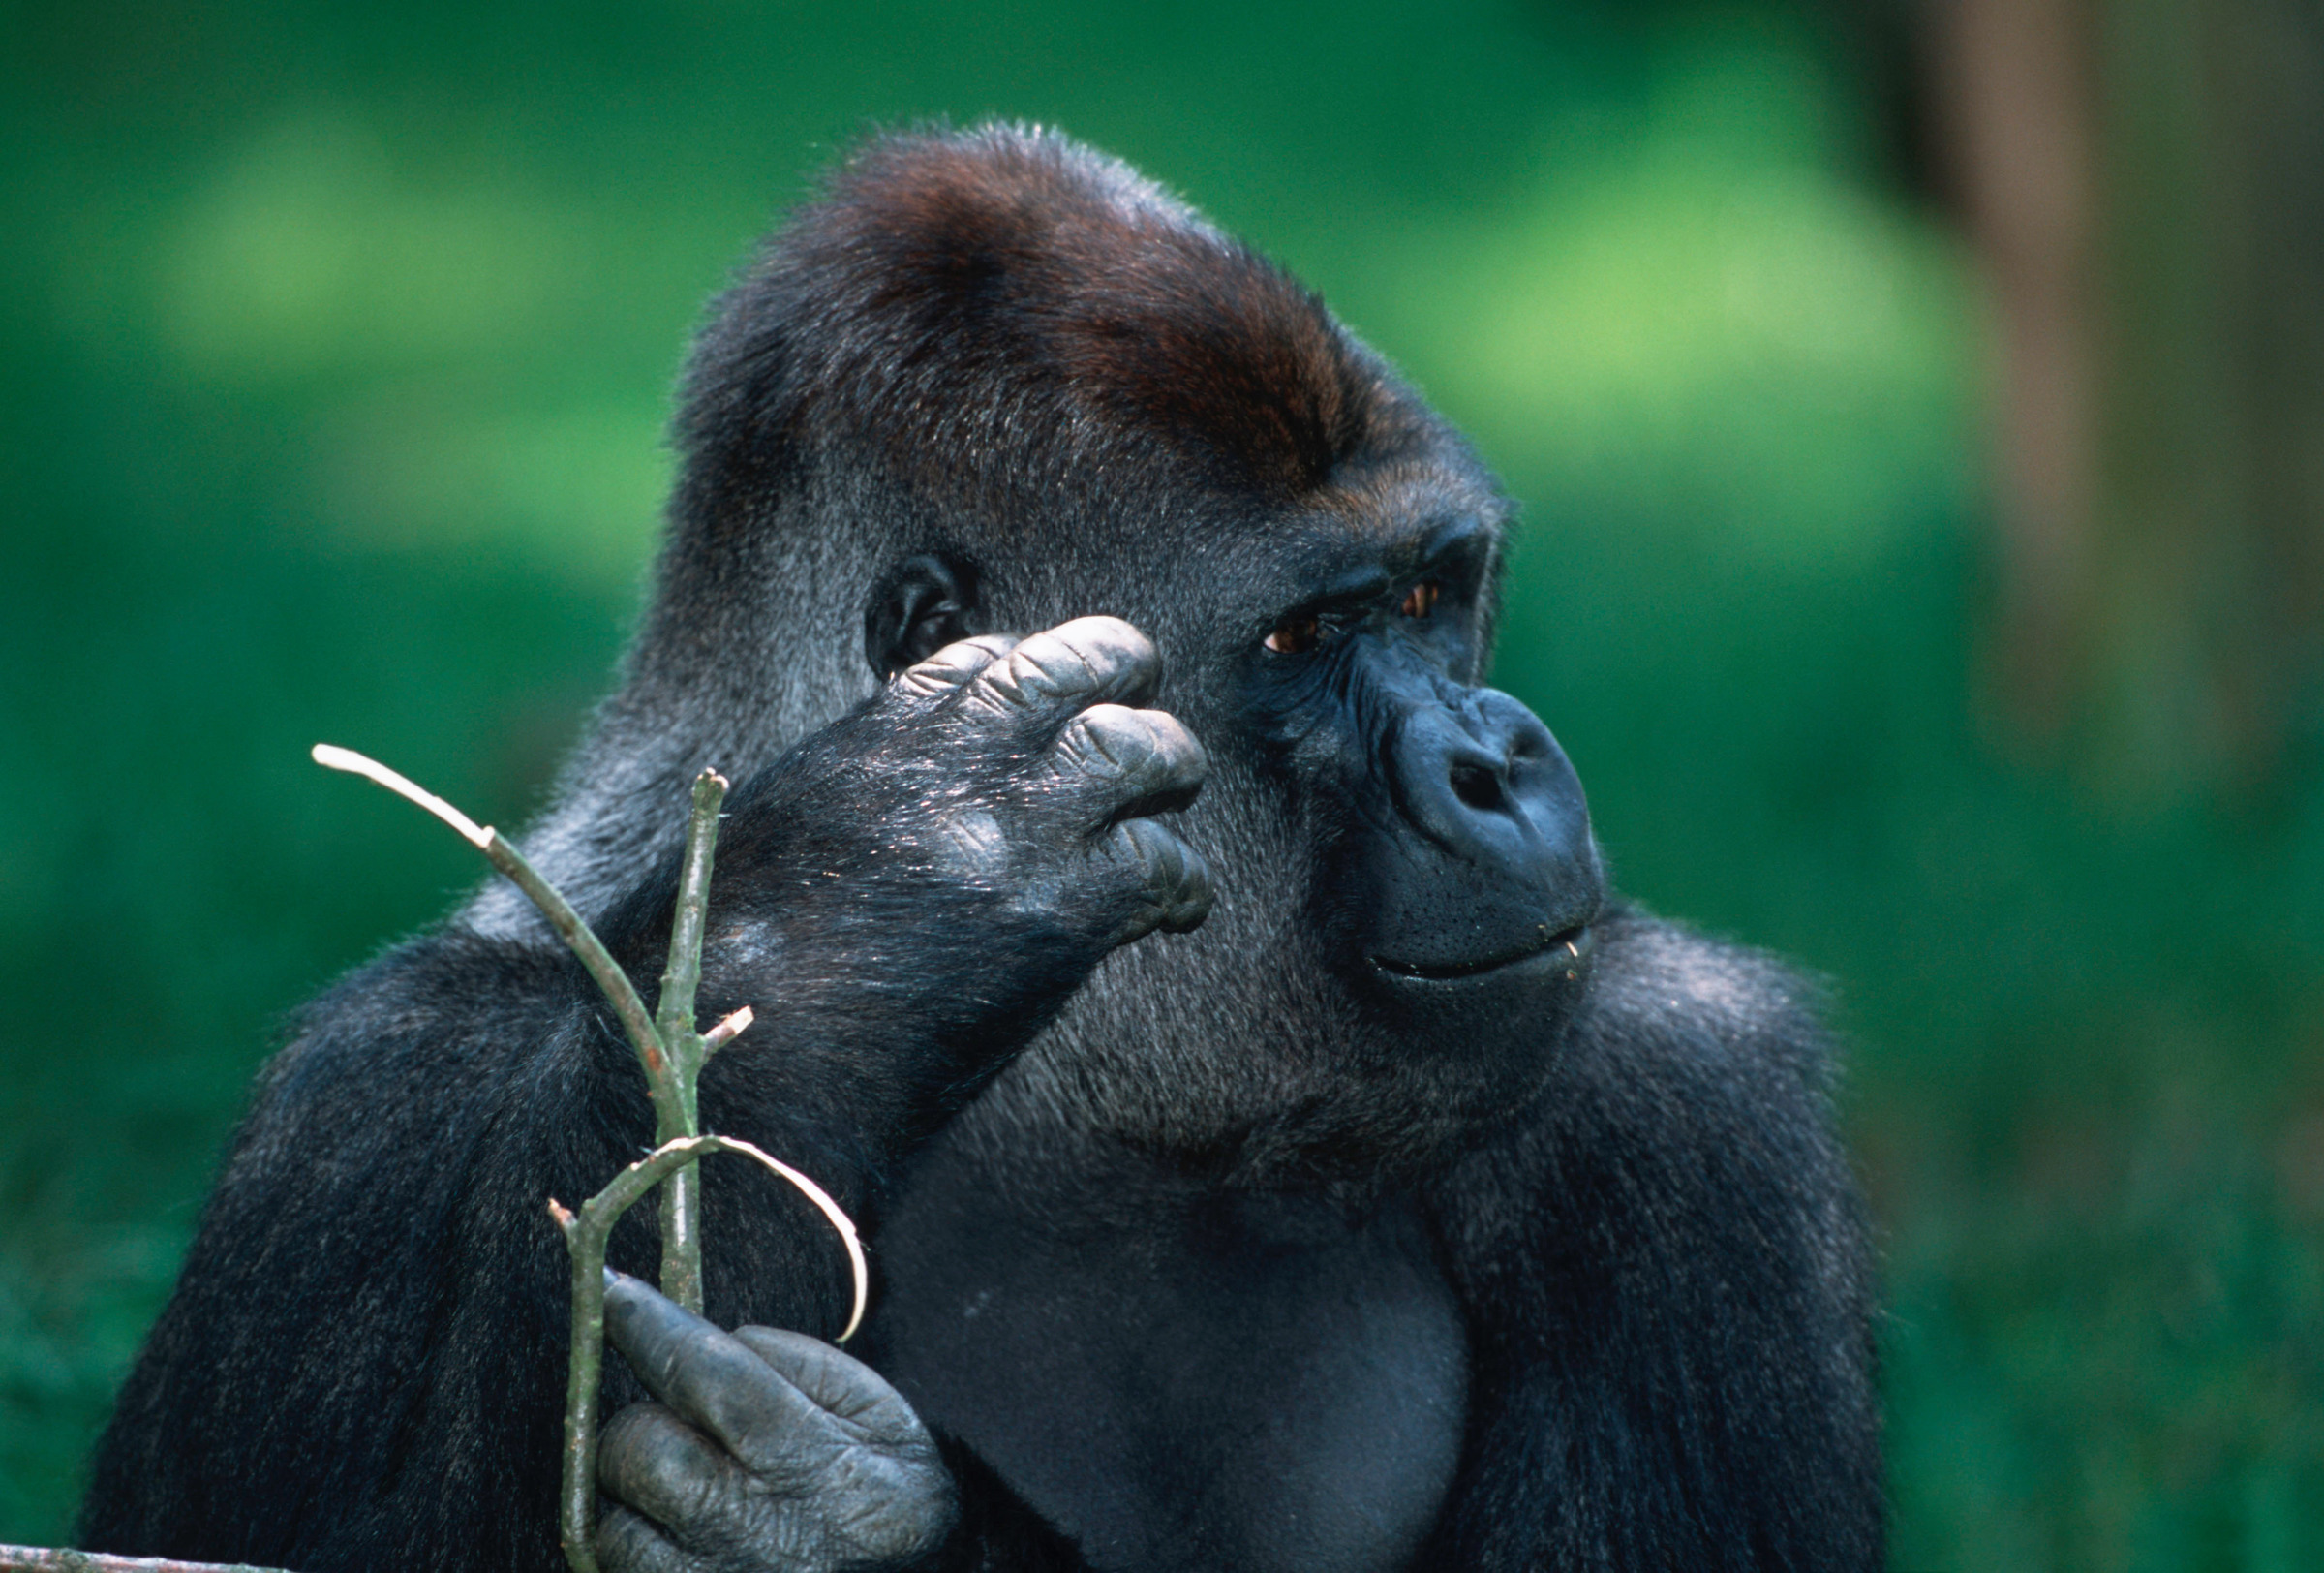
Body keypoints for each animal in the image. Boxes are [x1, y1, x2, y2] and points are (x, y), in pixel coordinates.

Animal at [83, 124, 1881, 1572]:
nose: (1495, 763)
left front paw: (855, 1535)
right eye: (1303, 637)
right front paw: (859, 913)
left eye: (1440, 591)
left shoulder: (1686, 1084)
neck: (1074, 1091)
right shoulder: (361, 1110)